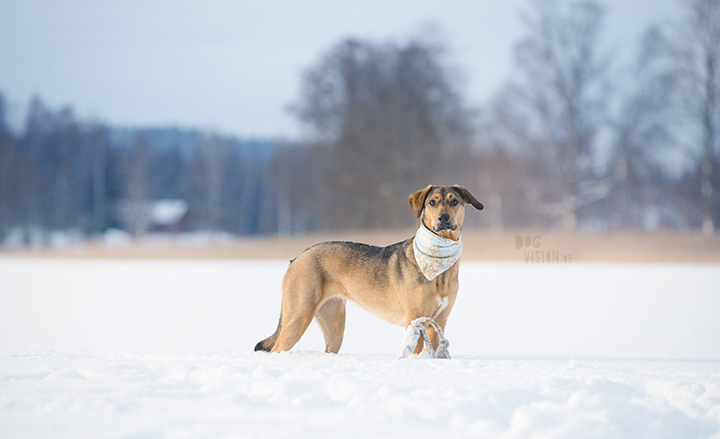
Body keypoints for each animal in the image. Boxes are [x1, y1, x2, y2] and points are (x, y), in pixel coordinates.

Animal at [253, 184, 484, 356]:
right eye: (432, 202)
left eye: (454, 201)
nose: (443, 218)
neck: (438, 268)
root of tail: (297, 257)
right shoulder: (415, 320)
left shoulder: (439, 322)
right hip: (299, 316)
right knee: (276, 349)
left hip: (334, 325)